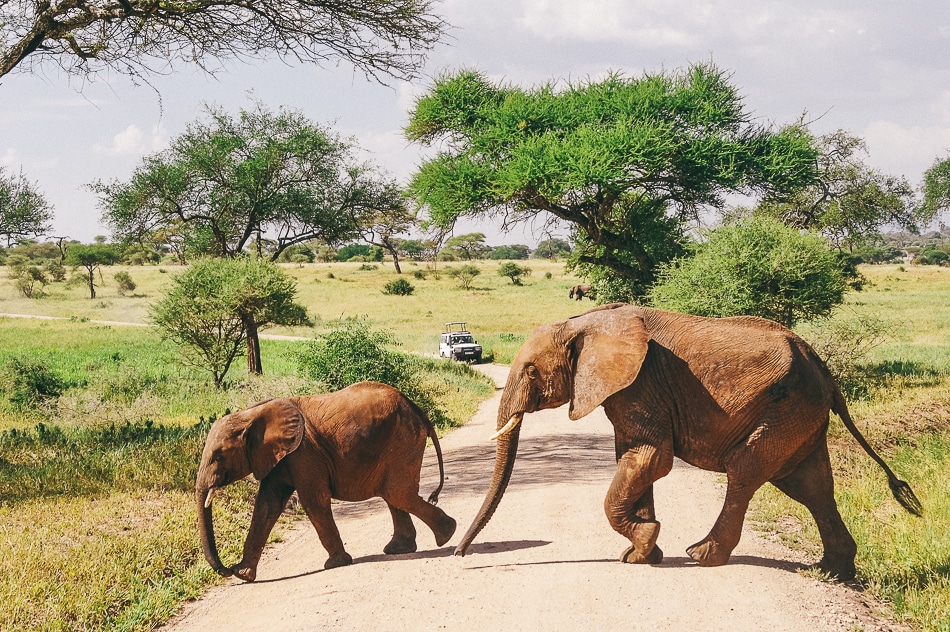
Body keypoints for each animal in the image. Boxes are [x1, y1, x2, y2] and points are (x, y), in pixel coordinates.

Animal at [196, 380, 458, 584]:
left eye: (219, 456)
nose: (226, 569)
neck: (250, 414)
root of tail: (417, 408)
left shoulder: (303, 453)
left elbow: (313, 500)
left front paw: (336, 564)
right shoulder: (280, 457)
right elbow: (267, 505)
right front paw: (243, 575)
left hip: (403, 437)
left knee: (397, 493)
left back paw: (446, 535)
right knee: (393, 494)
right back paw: (401, 549)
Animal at [456, 304, 924, 580]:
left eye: (531, 371)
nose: (461, 554)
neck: (583, 322)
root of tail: (825, 371)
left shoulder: (640, 383)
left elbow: (651, 459)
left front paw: (645, 543)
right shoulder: (629, 390)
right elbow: (635, 460)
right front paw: (642, 555)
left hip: (785, 410)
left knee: (746, 472)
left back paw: (703, 555)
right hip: (801, 416)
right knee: (811, 486)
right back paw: (832, 571)